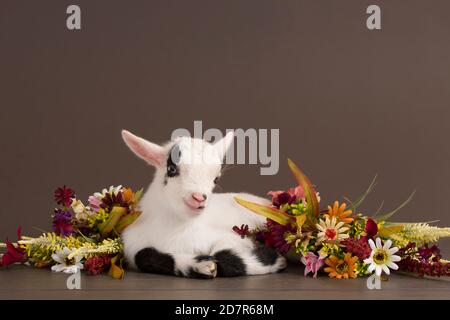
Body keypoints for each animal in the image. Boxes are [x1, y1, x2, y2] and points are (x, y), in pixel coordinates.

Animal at [121, 130, 286, 278]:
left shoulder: (233, 237)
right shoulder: (133, 245)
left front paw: (276, 259)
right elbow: (143, 256)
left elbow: (220, 254)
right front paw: (201, 265)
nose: (199, 198)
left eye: (216, 178)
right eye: (171, 169)